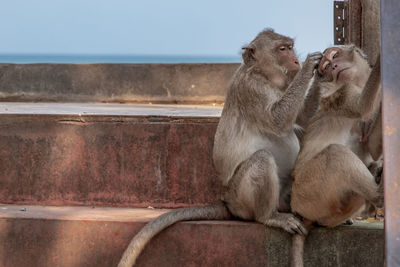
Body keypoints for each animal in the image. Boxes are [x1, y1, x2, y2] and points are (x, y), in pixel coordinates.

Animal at [118, 28, 322, 266]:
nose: (296, 60)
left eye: (290, 47)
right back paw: (270, 216)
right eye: (282, 49)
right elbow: (278, 120)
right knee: (261, 159)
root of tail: (226, 200)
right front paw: (309, 67)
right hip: (239, 197)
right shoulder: (251, 89)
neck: (264, 76)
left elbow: (300, 119)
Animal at [290, 46, 382, 267]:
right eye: (325, 66)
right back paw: (379, 195)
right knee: (335, 153)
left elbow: (373, 146)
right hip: (307, 191)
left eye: (335, 55)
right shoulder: (343, 95)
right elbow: (362, 106)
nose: (332, 66)